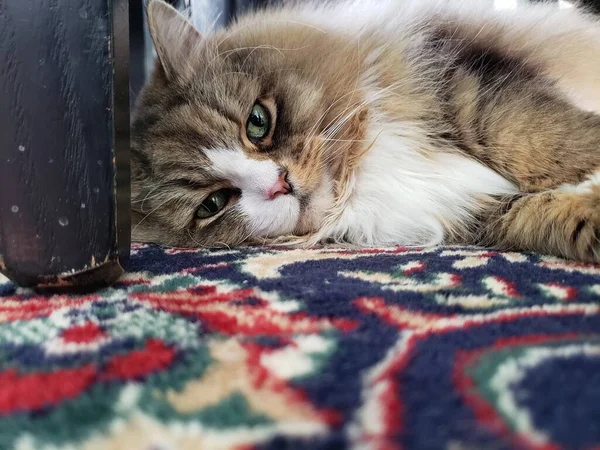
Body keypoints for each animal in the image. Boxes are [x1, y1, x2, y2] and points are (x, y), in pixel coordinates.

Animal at [132, 0, 600, 264]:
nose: (280, 184)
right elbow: (544, 215)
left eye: (257, 123)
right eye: (212, 204)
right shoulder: (472, 209)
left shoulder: (469, 86)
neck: (362, 176)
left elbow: (542, 142)